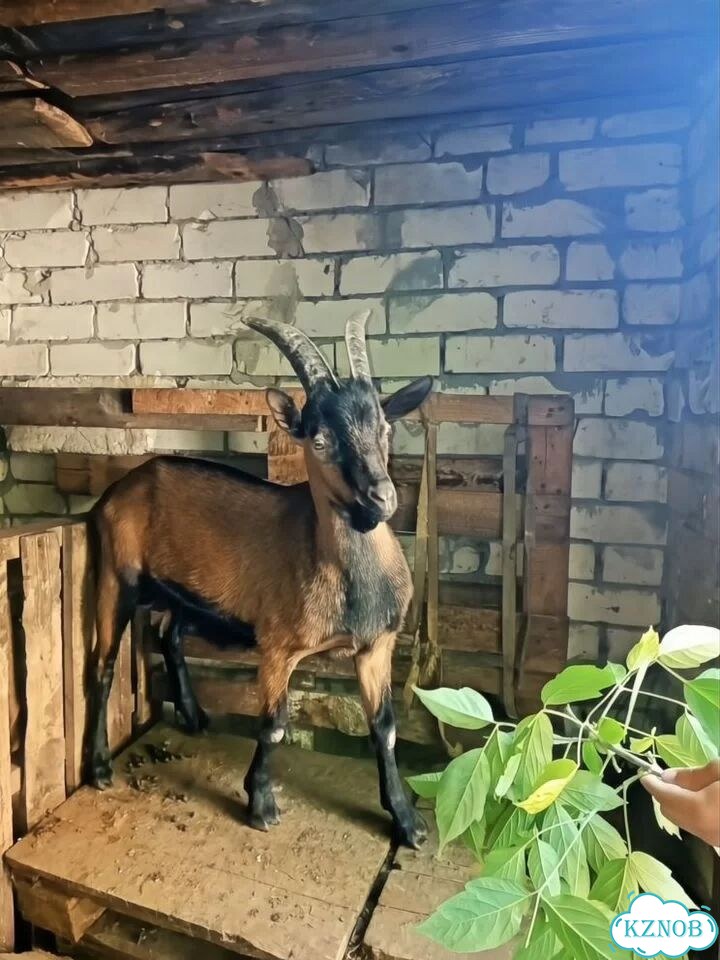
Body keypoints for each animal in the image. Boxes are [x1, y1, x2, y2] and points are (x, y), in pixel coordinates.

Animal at [88, 311, 432, 848]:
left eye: (385, 426)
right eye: (319, 439)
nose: (381, 497)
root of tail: (122, 487)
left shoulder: (377, 646)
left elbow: (385, 727)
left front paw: (407, 822)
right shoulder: (278, 647)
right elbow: (273, 724)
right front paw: (261, 804)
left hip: (186, 594)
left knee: (170, 635)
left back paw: (194, 716)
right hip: (116, 576)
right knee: (102, 665)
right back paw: (101, 768)